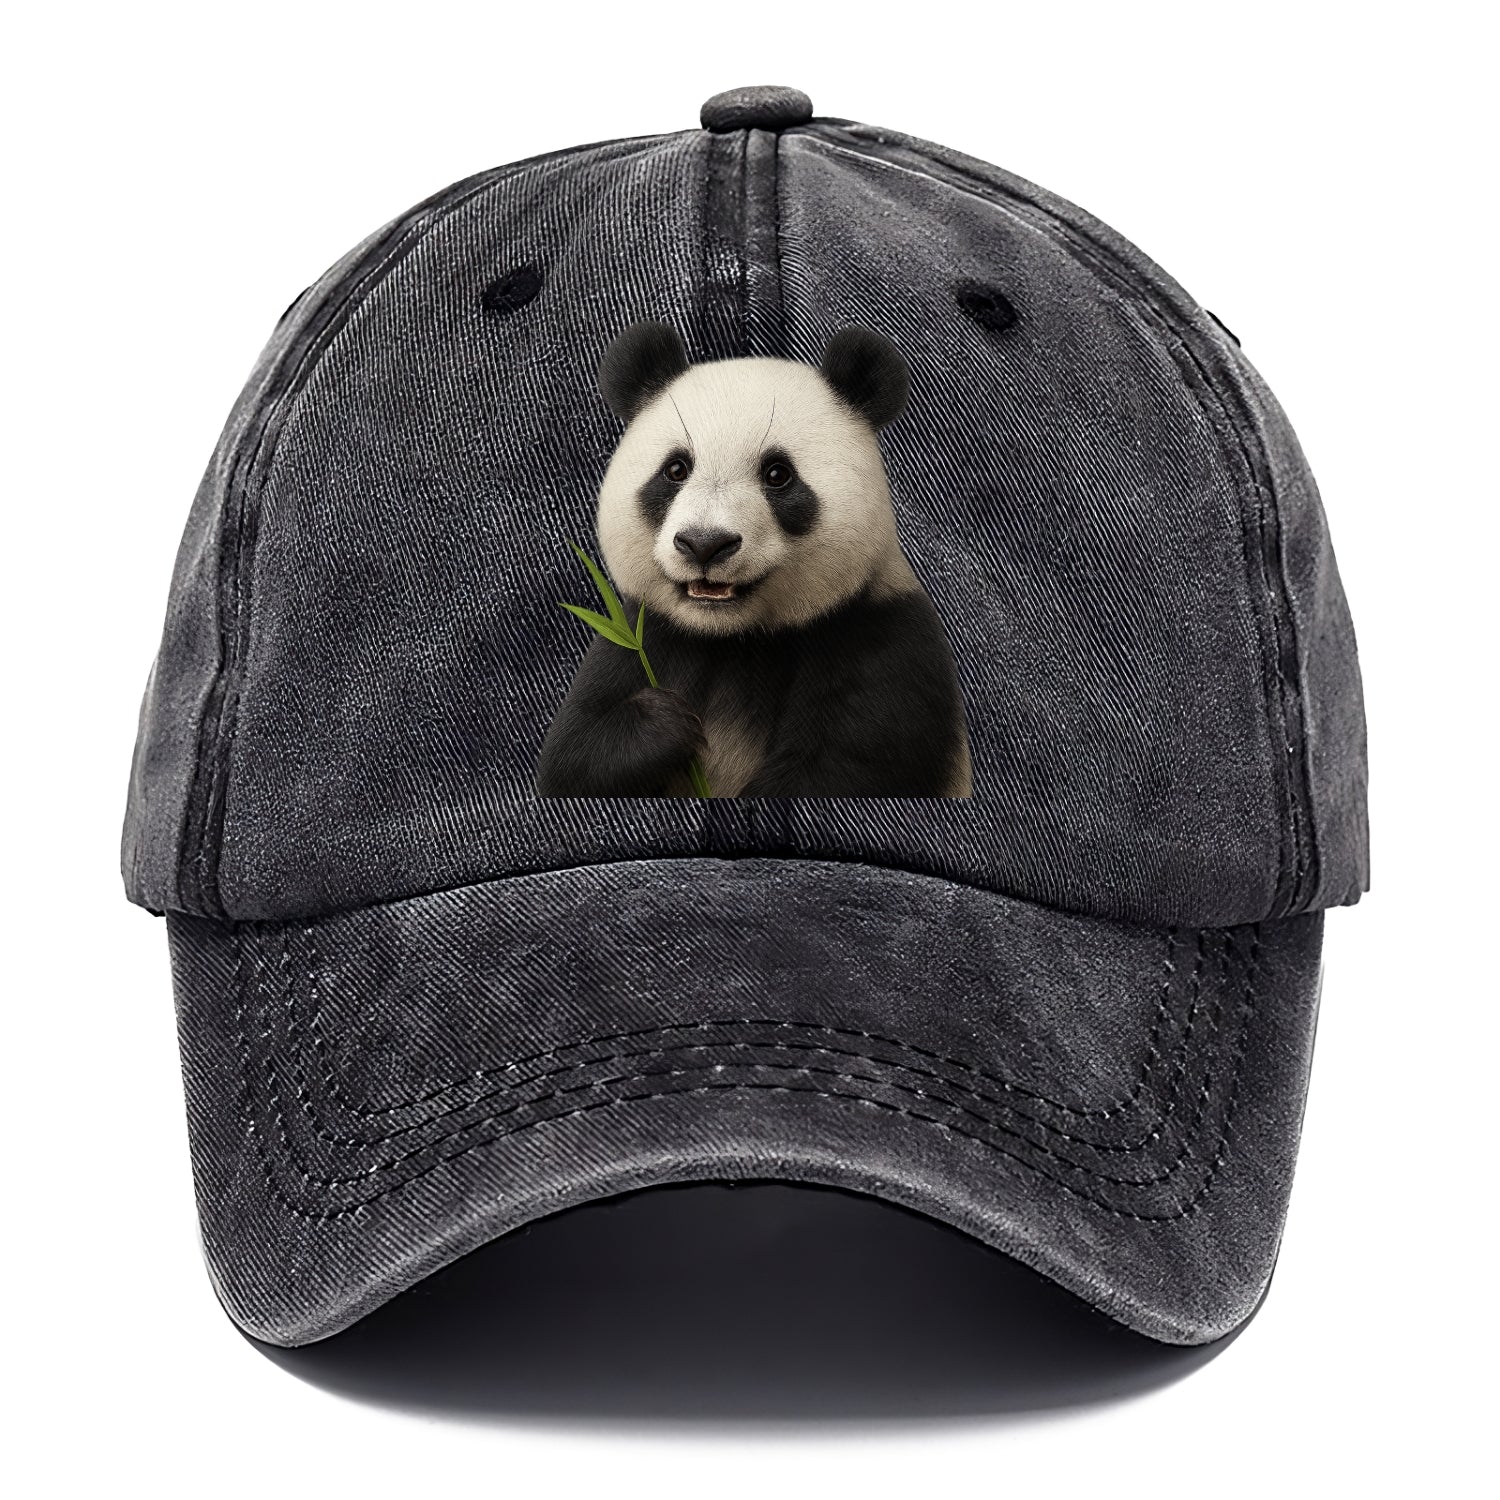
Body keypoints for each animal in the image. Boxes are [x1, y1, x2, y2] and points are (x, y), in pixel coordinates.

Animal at [535, 322, 972, 798]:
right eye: (676, 469)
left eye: (778, 474)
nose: (705, 544)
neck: (734, 638)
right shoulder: (644, 635)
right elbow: (570, 756)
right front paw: (663, 723)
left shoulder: (881, 639)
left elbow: (841, 769)